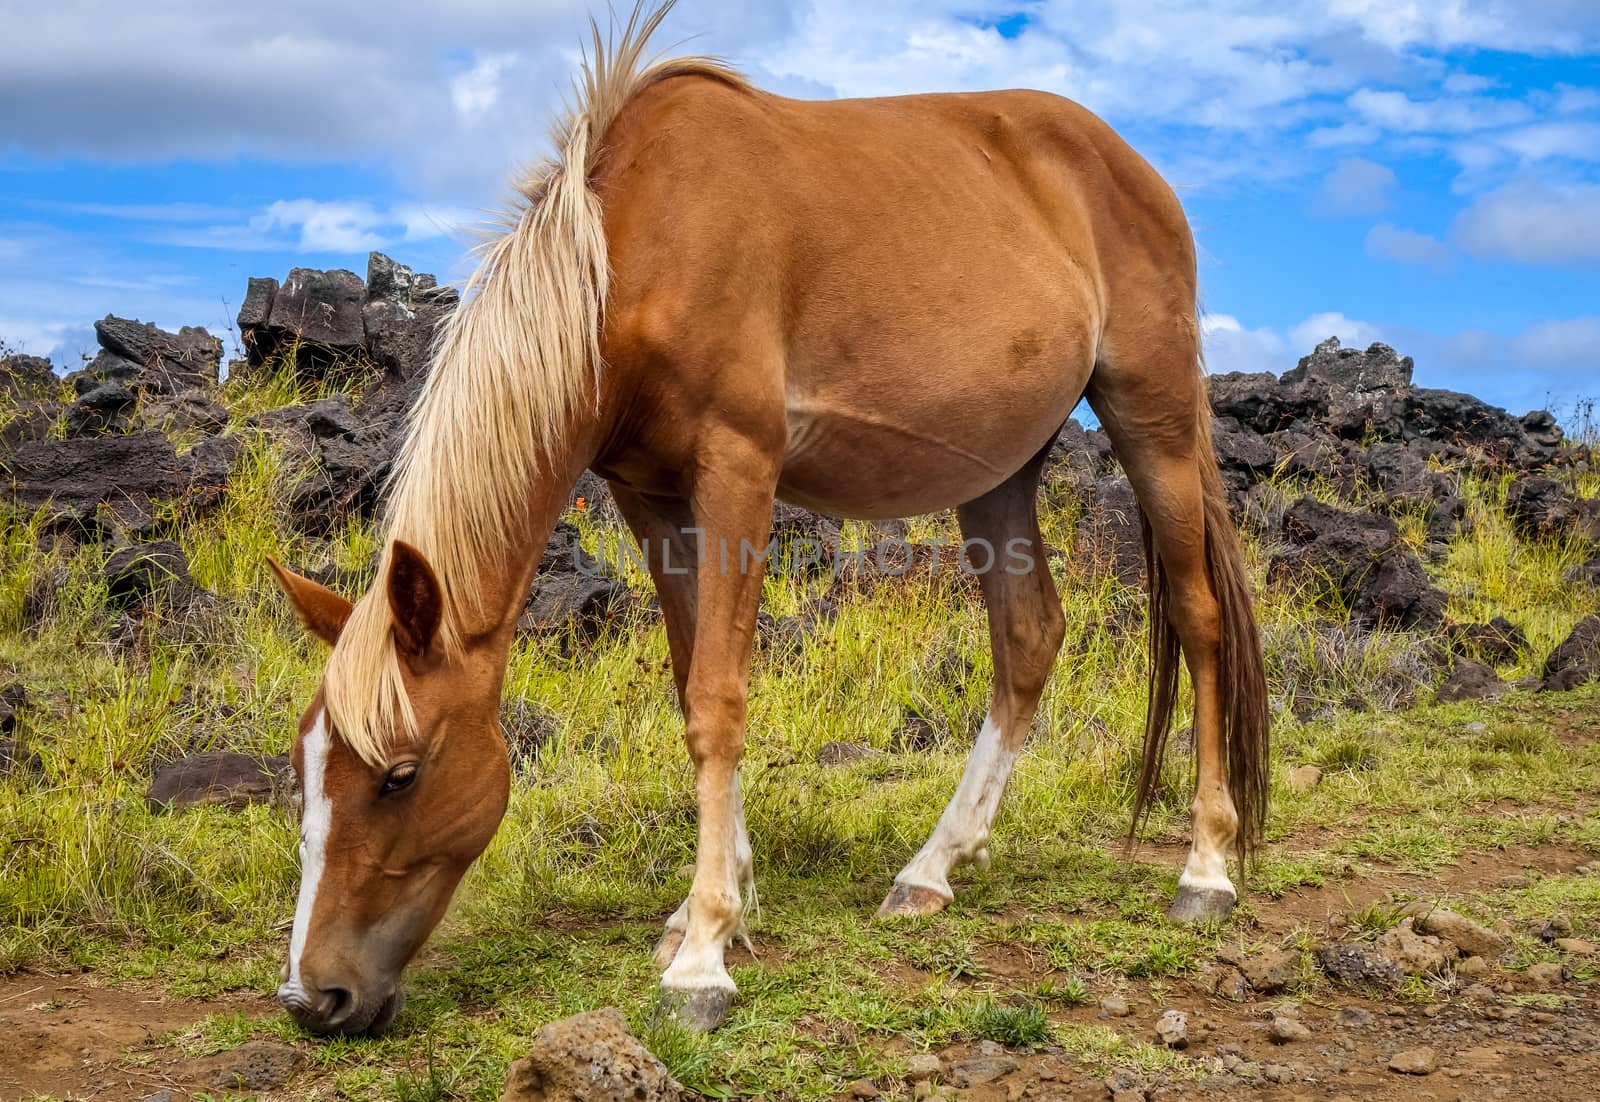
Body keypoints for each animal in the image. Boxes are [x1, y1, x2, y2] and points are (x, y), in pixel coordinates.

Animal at [265, 0, 1260, 1036]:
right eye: (304, 769)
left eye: (401, 773)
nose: (314, 995)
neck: (632, 252)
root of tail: (1131, 168)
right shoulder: (649, 494)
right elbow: (688, 679)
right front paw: (710, 907)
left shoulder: (737, 469)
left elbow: (718, 700)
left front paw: (704, 955)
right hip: (1001, 468)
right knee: (1027, 639)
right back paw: (933, 868)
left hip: (1154, 419)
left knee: (1200, 622)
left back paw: (1206, 868)